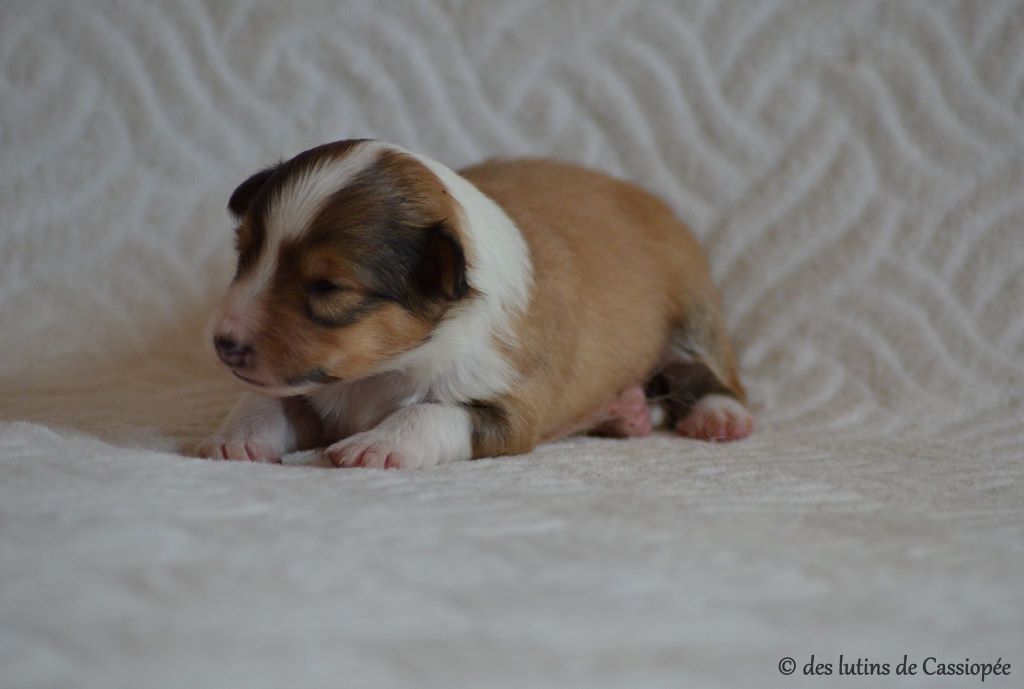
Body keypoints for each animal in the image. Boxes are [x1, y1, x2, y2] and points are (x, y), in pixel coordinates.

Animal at [195, 138, 753, 466]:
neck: (380, 373)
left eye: (328, 287)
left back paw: (719, 417)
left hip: (695, 309)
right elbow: (271, 397)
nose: (222, 344)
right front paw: (239, 435)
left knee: (715, 375)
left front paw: (378, 444)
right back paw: (628, 411)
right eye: (245, 253)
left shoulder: (509, 402)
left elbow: (432, 413)